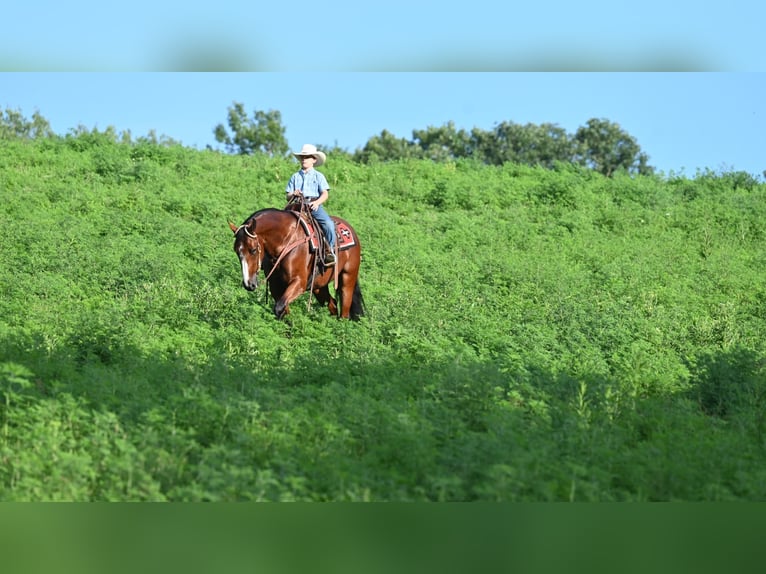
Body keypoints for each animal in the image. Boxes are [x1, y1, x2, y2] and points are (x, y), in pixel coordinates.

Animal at [228, 205, 366, 322]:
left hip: (348, 278)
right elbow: (283, 309)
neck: (285, 241)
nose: (248, 284)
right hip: (319, 286)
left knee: (344, 311)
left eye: (253, 250)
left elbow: (279, 308)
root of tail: (351, 231)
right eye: (236, 251)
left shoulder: (299, 282)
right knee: (332, 303)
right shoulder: (275, 285)